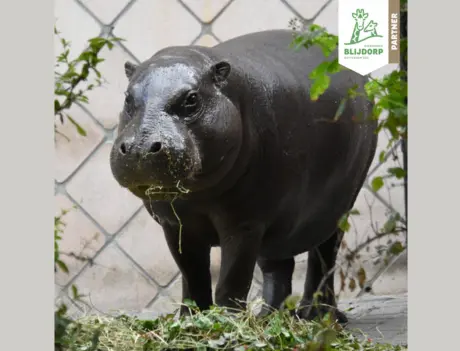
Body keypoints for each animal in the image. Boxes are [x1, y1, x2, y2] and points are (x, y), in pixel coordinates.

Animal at [110, 28, 378, 324]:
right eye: (127, 98)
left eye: (192, 99)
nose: (140, 147)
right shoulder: (176, 224)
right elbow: (192, 276)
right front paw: (190, 320)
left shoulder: (244, 224)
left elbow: (232, 278)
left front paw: (225, 320)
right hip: (278, 226)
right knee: (279, 267)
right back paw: (269, 318)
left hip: (336, 209)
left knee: (324, 258)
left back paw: (316, 316)